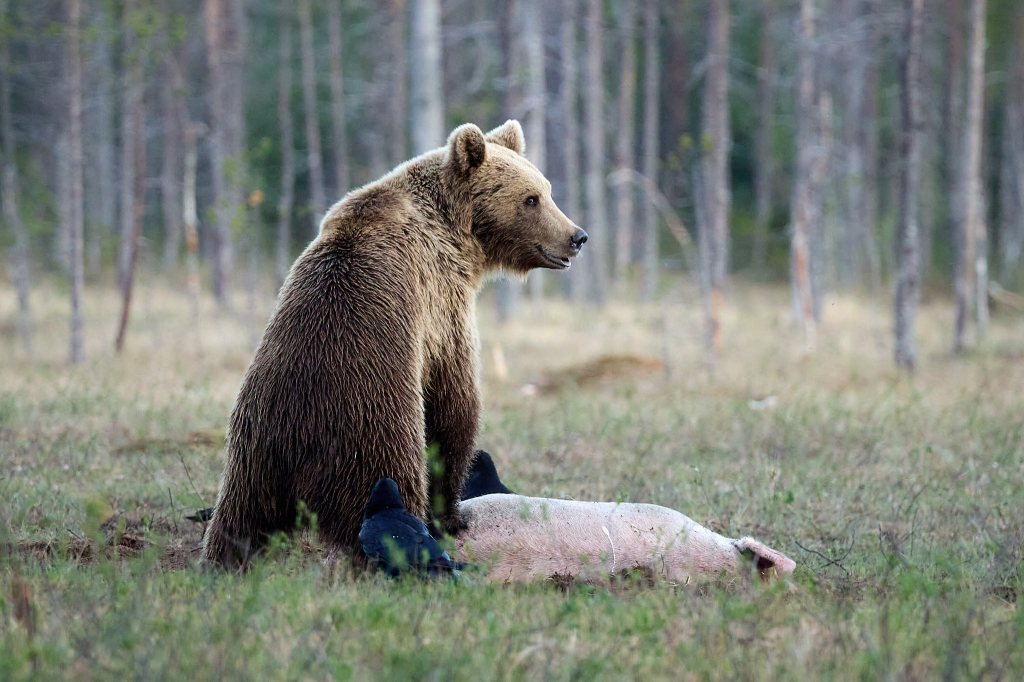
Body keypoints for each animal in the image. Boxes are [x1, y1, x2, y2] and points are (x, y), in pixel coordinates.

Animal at [202, 120, 587, 569]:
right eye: (531, 198)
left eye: (546, 190)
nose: (577, 236)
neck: (456, 233)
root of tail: (299, 450)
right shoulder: (441, 302)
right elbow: (455, 400)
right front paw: (453, 514)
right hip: (370, 426)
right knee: (387, 486)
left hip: (255, 445)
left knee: (240, 518)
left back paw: (223, 560)